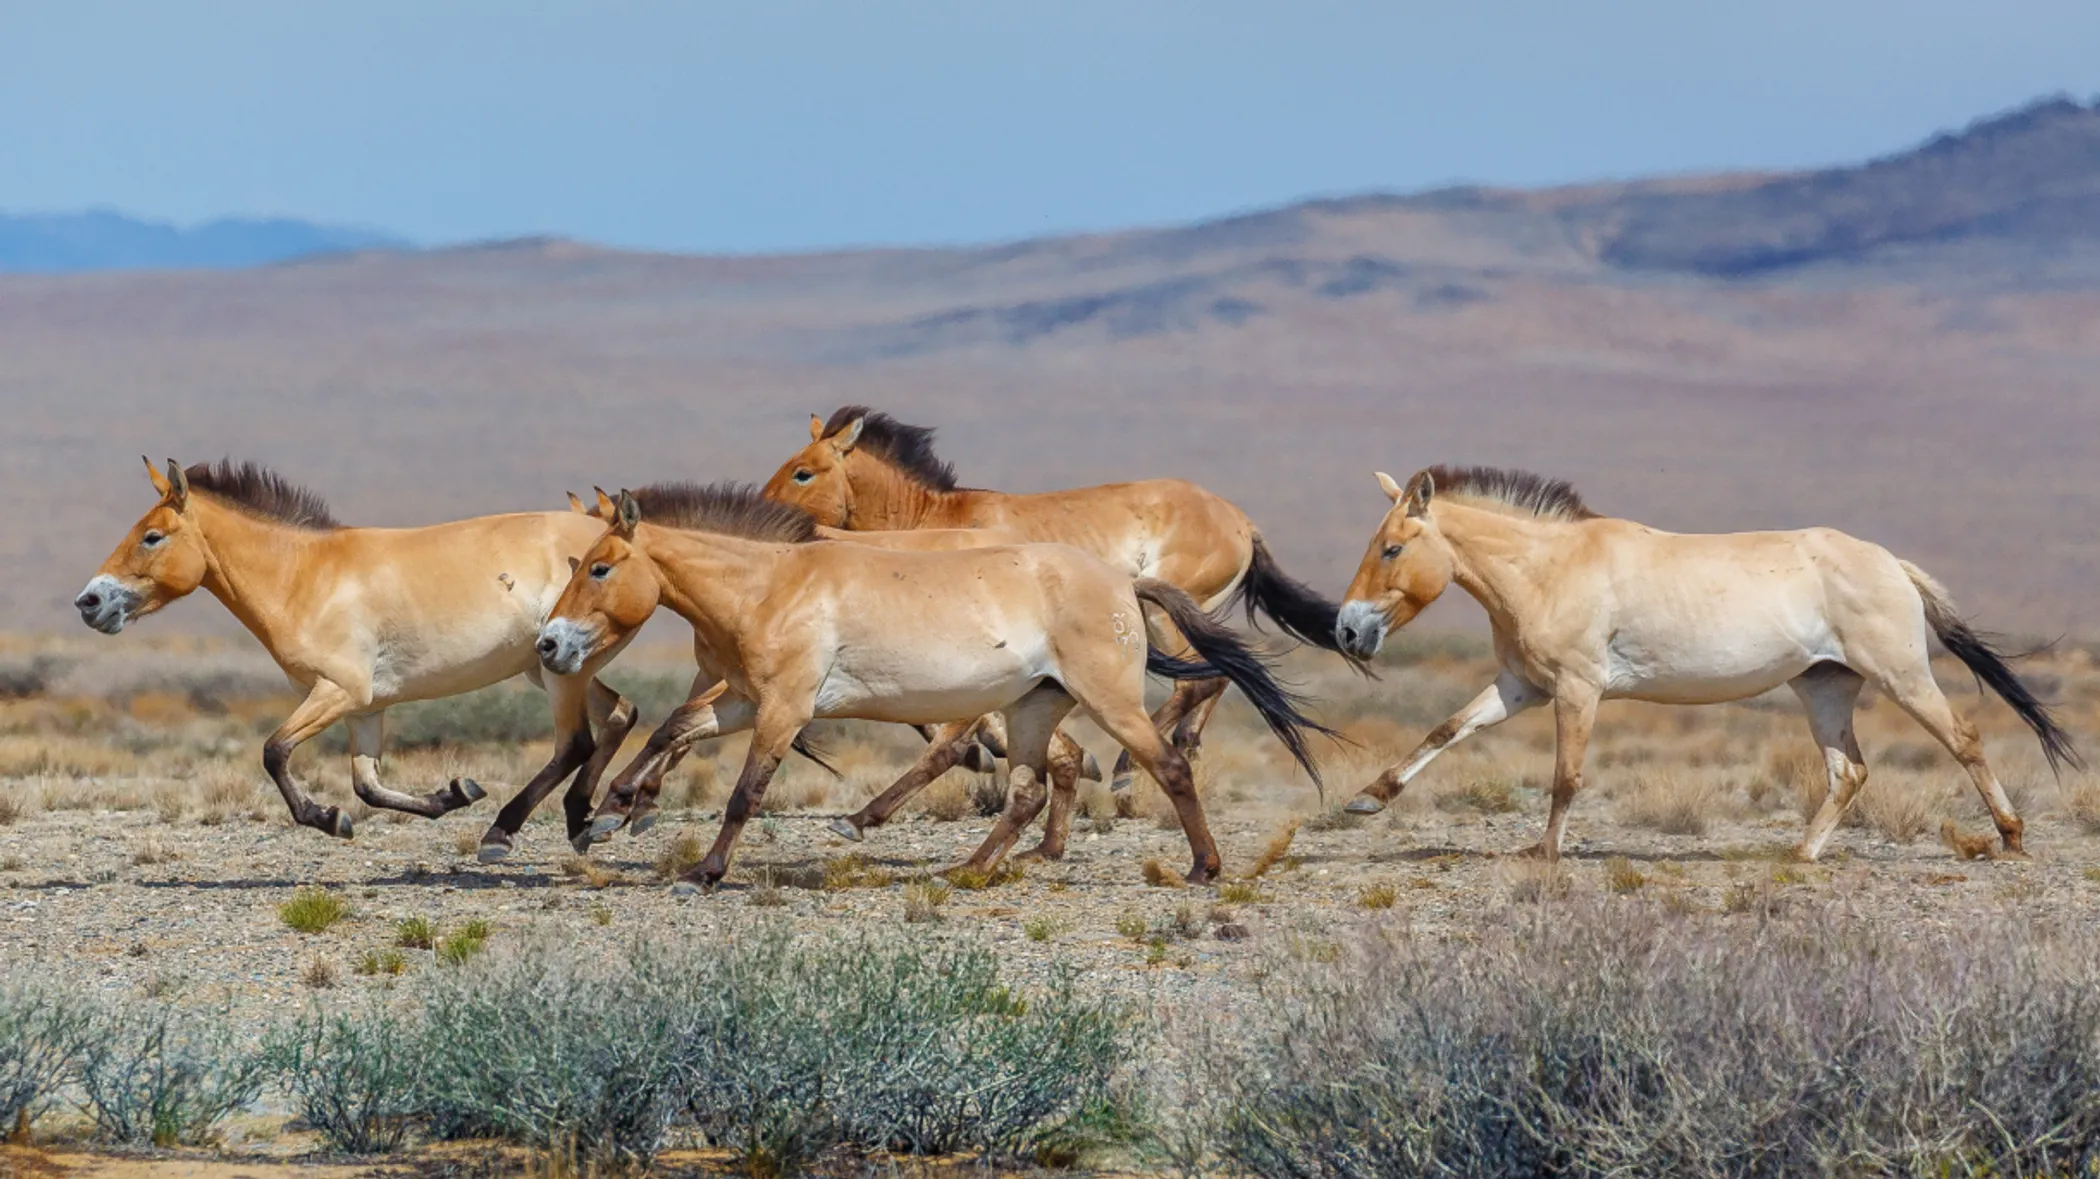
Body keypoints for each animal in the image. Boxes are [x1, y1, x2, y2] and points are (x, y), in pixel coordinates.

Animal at [74, 451, 638, 853]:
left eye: (151, 536)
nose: (89, 602)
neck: (305, 577)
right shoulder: (364, 707)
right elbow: (367, 786)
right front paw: (453, 794)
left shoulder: (337, 692)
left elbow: (274, 751)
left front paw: (329, 819)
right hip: (551, 667)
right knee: (620, 715)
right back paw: (590, 819)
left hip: (561, 672)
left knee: (576, 743)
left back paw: (505, 832)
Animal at [541, 483, 1327, 886]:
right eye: (579, 562)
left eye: (600, 567)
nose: (550, 642)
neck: (771, 584)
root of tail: (1122, 581)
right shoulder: (743, 700)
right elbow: (674, 729)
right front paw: (609, 813)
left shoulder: (784, 709)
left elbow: (744, 793)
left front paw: (702, 870)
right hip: (1033, 708)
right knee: (1029, 790)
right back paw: (965, 869)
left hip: (1108, 702)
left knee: (1165, 764)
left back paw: (1203, 867)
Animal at [764, 403, 1352, 807]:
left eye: (803, 471)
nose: (764, 514)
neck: (937, 521)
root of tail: (1241, 521)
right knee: (1217, 676)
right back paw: (1178, 749)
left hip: (1162, 614)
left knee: (1201, 679)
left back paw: (1125, 769)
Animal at [1335, 464, 2074, 861]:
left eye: (1393, 548)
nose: (1346, 629)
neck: (1550, 567)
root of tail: (1891, 562)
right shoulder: (1522, 688)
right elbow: (1445, 730)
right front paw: (1366, 799)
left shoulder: (1578, 689)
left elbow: (1565, 777)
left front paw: (1544, 852)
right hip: (1825, 688)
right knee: (1849, 771)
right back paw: (1801, 853)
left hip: (1902, 677)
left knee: (1963, 738)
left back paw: (2011, 837)